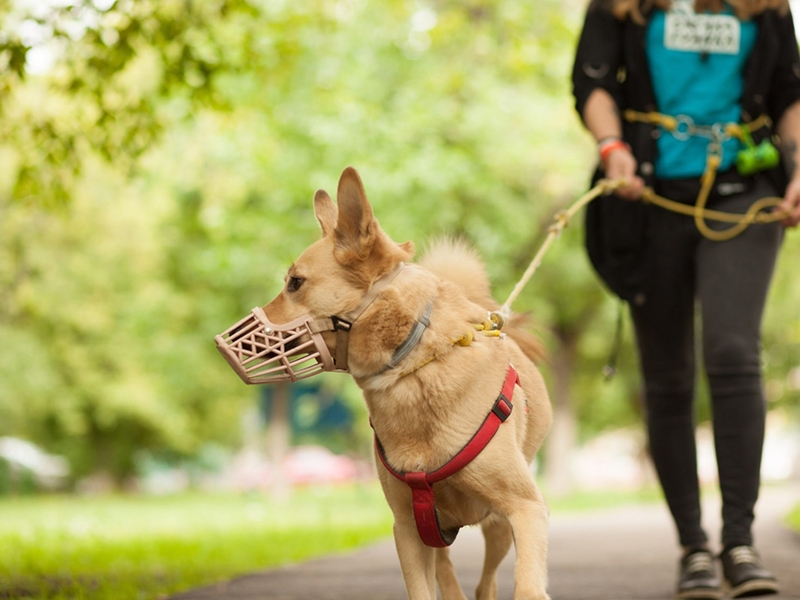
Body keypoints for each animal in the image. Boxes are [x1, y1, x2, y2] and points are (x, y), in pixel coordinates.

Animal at [222, 166, 552, 596]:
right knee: (450, 576)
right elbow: (422, 590)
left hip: (496, 526)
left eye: (295, 283)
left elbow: (528, 584)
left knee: (486, 581)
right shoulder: (409, 529)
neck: (412, 369)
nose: (220, 343)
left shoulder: (526, 509)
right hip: (437, 530)